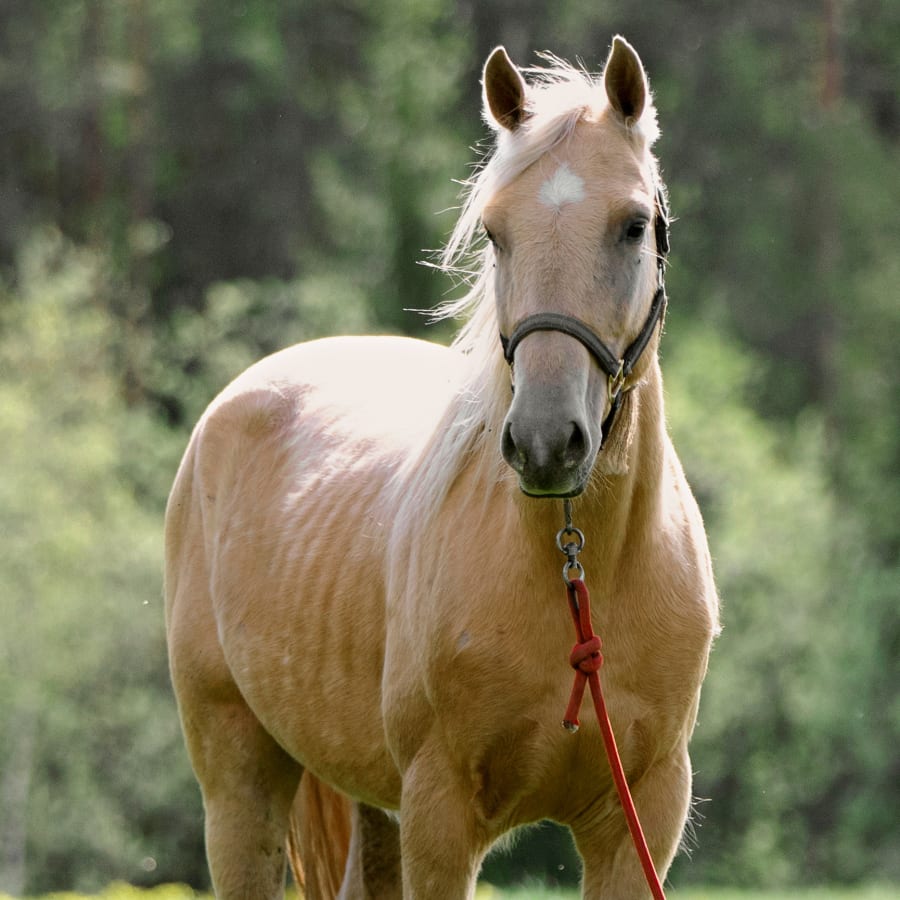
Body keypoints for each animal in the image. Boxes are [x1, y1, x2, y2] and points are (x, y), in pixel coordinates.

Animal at [165, 37, 720, 900]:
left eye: (633, 226)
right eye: (494, 233)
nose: (545, 442)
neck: (579, 579)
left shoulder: (640, 821)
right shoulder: (440, 815)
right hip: (240, 779)